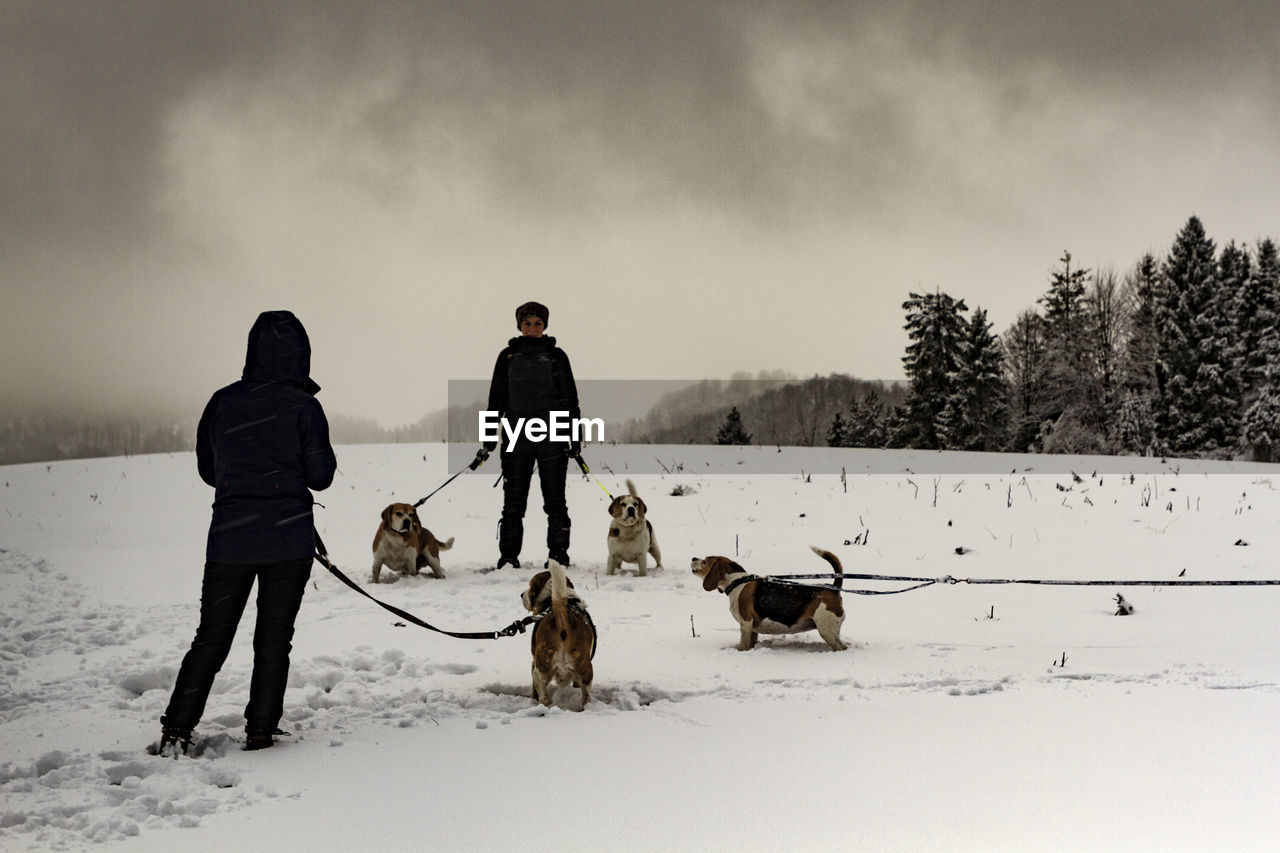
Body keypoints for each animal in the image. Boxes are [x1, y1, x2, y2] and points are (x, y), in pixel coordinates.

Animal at [522, 560, 596, 706]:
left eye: (530, 584)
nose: (521, 595)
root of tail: (561, 612)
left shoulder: (534, 660)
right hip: (586, 669)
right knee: (586, 696)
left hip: (540, 668)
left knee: (542, 692)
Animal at [691, 548, 849, 648]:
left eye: (705, 561)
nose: (693, 557)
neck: (736, 582)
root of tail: (833, 589)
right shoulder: (752, 629)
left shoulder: (745, 624)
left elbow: (743, 645)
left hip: (826, 629)